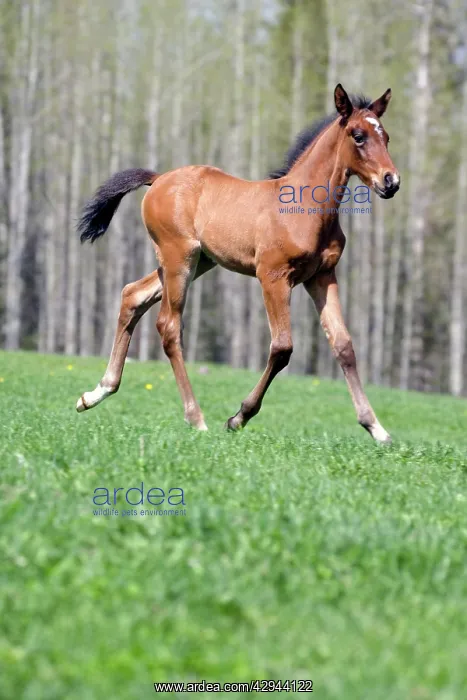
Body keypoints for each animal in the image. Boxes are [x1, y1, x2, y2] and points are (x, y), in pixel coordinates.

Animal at [76, 83, 399, 443]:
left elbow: (343, 346)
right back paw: (196, 418)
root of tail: (158, 178)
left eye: (386, 137)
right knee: (169, 326)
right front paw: (238, 417)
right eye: (358, 136)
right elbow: (282, 347)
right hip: (179, 258)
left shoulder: (322, 276)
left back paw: (96, 393)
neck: (305, 209)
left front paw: (377, 429)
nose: (391, 181)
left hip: (200, 262)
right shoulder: (272, 276)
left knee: (133, 295)